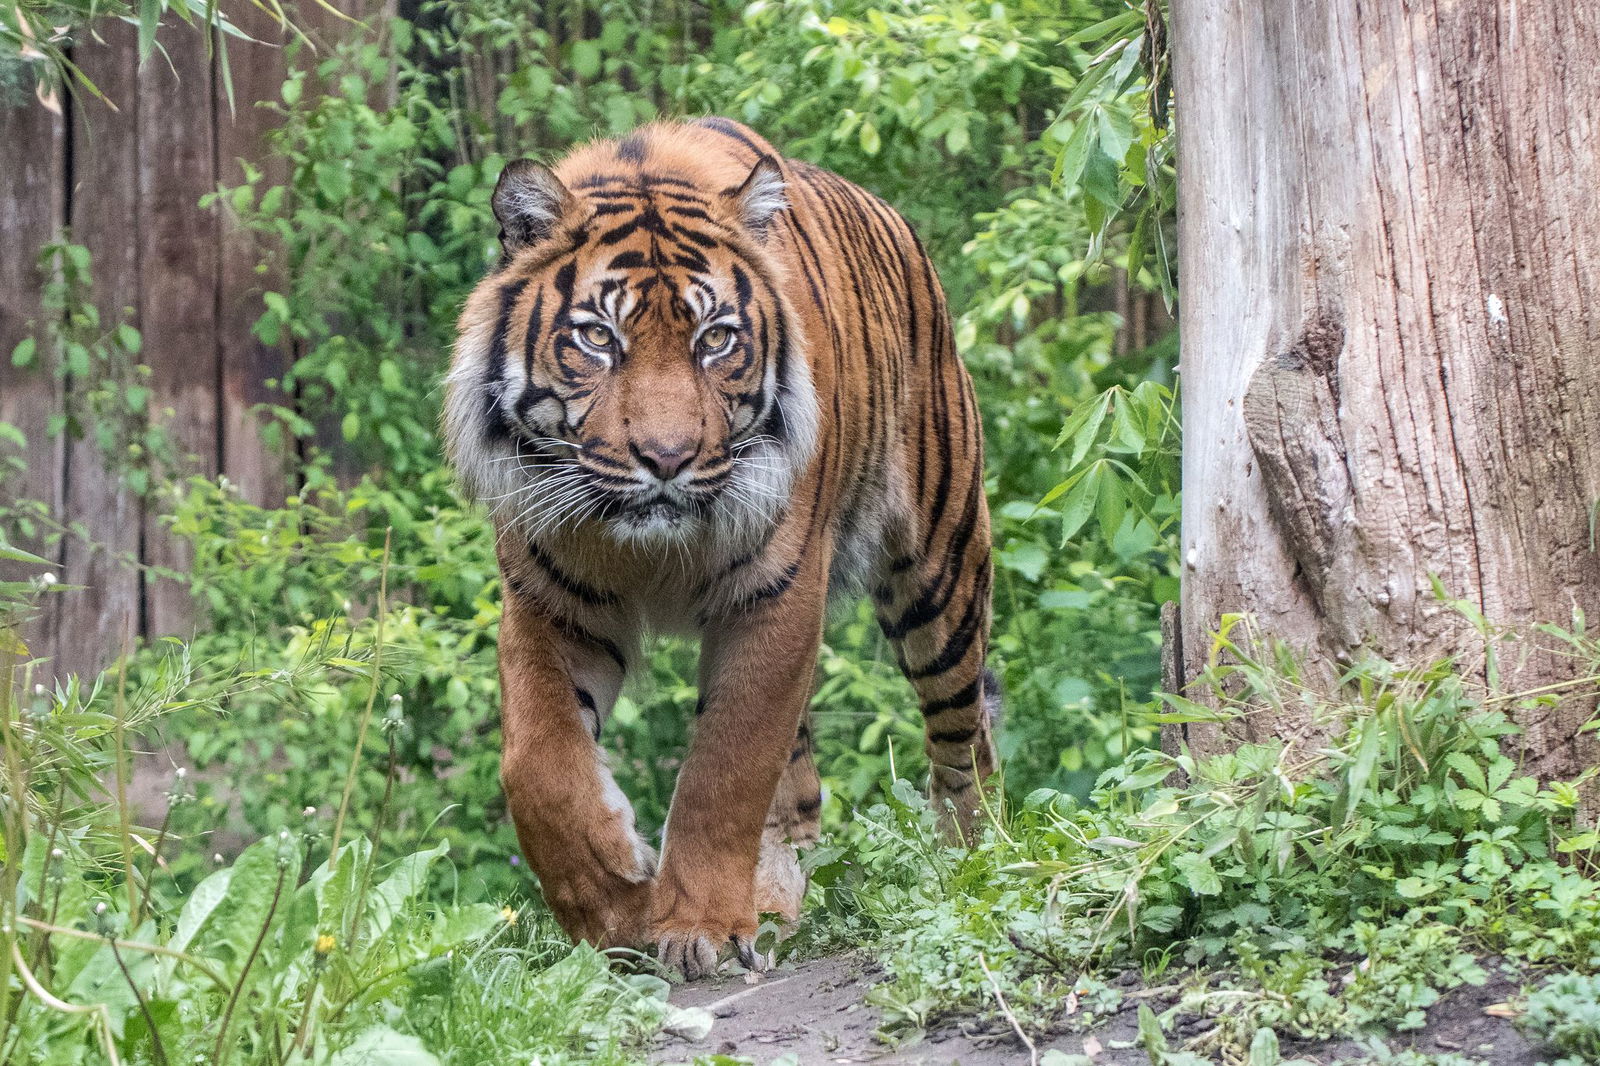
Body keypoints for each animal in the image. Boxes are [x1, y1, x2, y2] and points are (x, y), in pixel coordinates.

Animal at [443, 118, 998, 978]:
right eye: (597, 338)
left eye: (716, 340)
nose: (666, 458)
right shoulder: (548, 597)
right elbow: (538, 764)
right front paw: (613, 902)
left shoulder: (776, 593)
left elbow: (726, 767)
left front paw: (698, 923)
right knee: (799, 789)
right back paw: (772, 908)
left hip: (941, 571)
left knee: (965, 735)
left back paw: (974, 858)